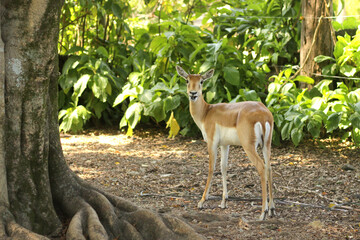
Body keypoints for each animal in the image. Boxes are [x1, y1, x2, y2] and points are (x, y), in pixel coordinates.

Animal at [177, 65, 276, 219]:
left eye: (201, 81)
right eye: (187, 80)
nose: (193, 93)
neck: (206, 113)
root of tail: (264, 114)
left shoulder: (211, 143)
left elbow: (211, 168)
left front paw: (202, 201)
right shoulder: (225, 145)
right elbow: (223, 168)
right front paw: (224, 202)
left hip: (249, 146)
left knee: (261, 167)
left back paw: (263, 212)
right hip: (266, 145)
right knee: (269, 167)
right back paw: (271, 208)